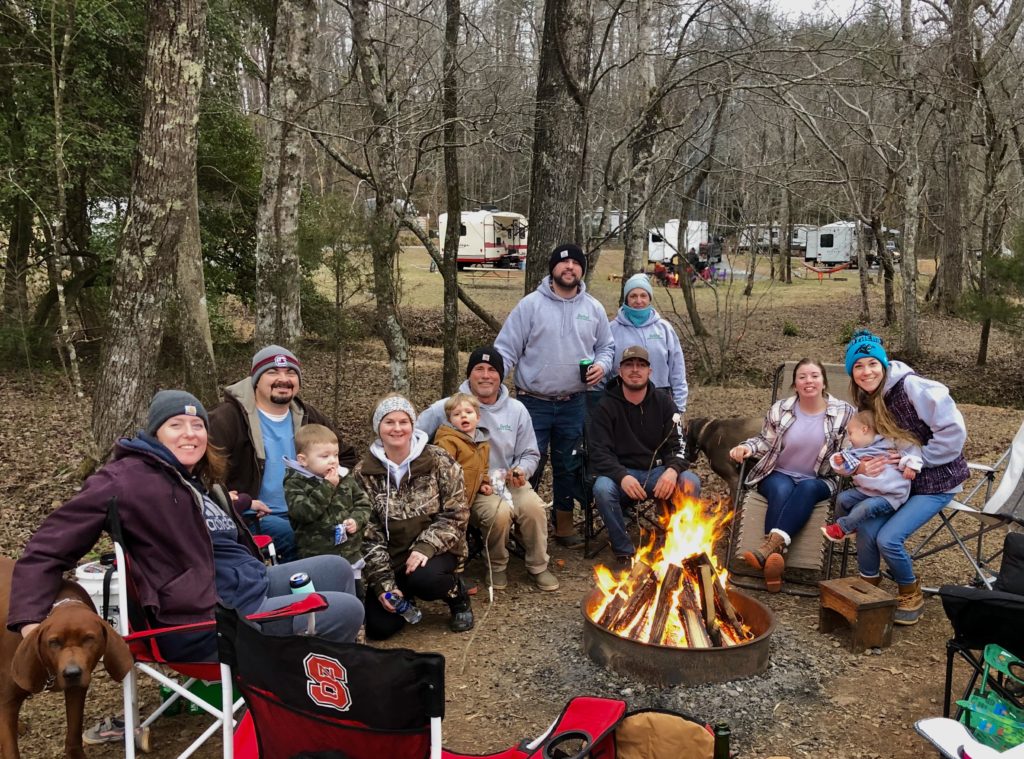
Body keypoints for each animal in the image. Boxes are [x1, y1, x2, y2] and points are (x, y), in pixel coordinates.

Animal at [0, 557, 134, 757]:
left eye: (89, 639)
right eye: (54, 642)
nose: (71, 673)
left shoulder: (77, 688)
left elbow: (73, 733)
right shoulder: (8, 701)